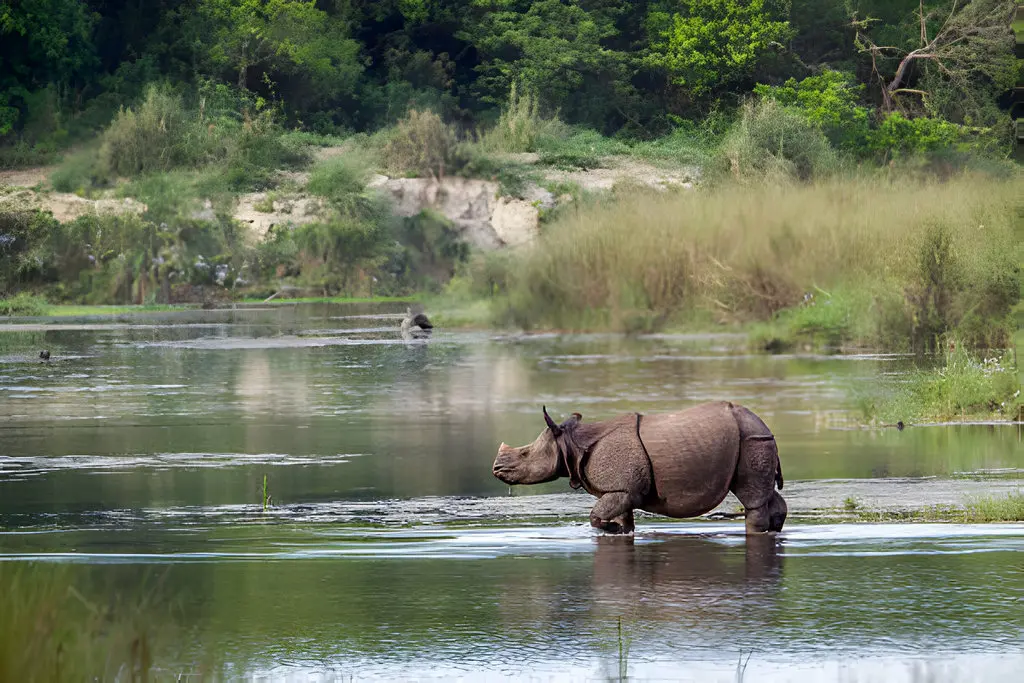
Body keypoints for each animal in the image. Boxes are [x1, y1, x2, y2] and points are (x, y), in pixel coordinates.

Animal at [492, 401, 787, 535]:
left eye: (524, 454)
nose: (496, 468)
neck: (571, 443)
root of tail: (763, 424)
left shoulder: (621, 489)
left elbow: (595, 515)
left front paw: (609, 529)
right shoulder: (619, 488)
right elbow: (620, 516)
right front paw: (619, 530)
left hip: (750, 439)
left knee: (751, 498)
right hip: (754, 438)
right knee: (766, 496)